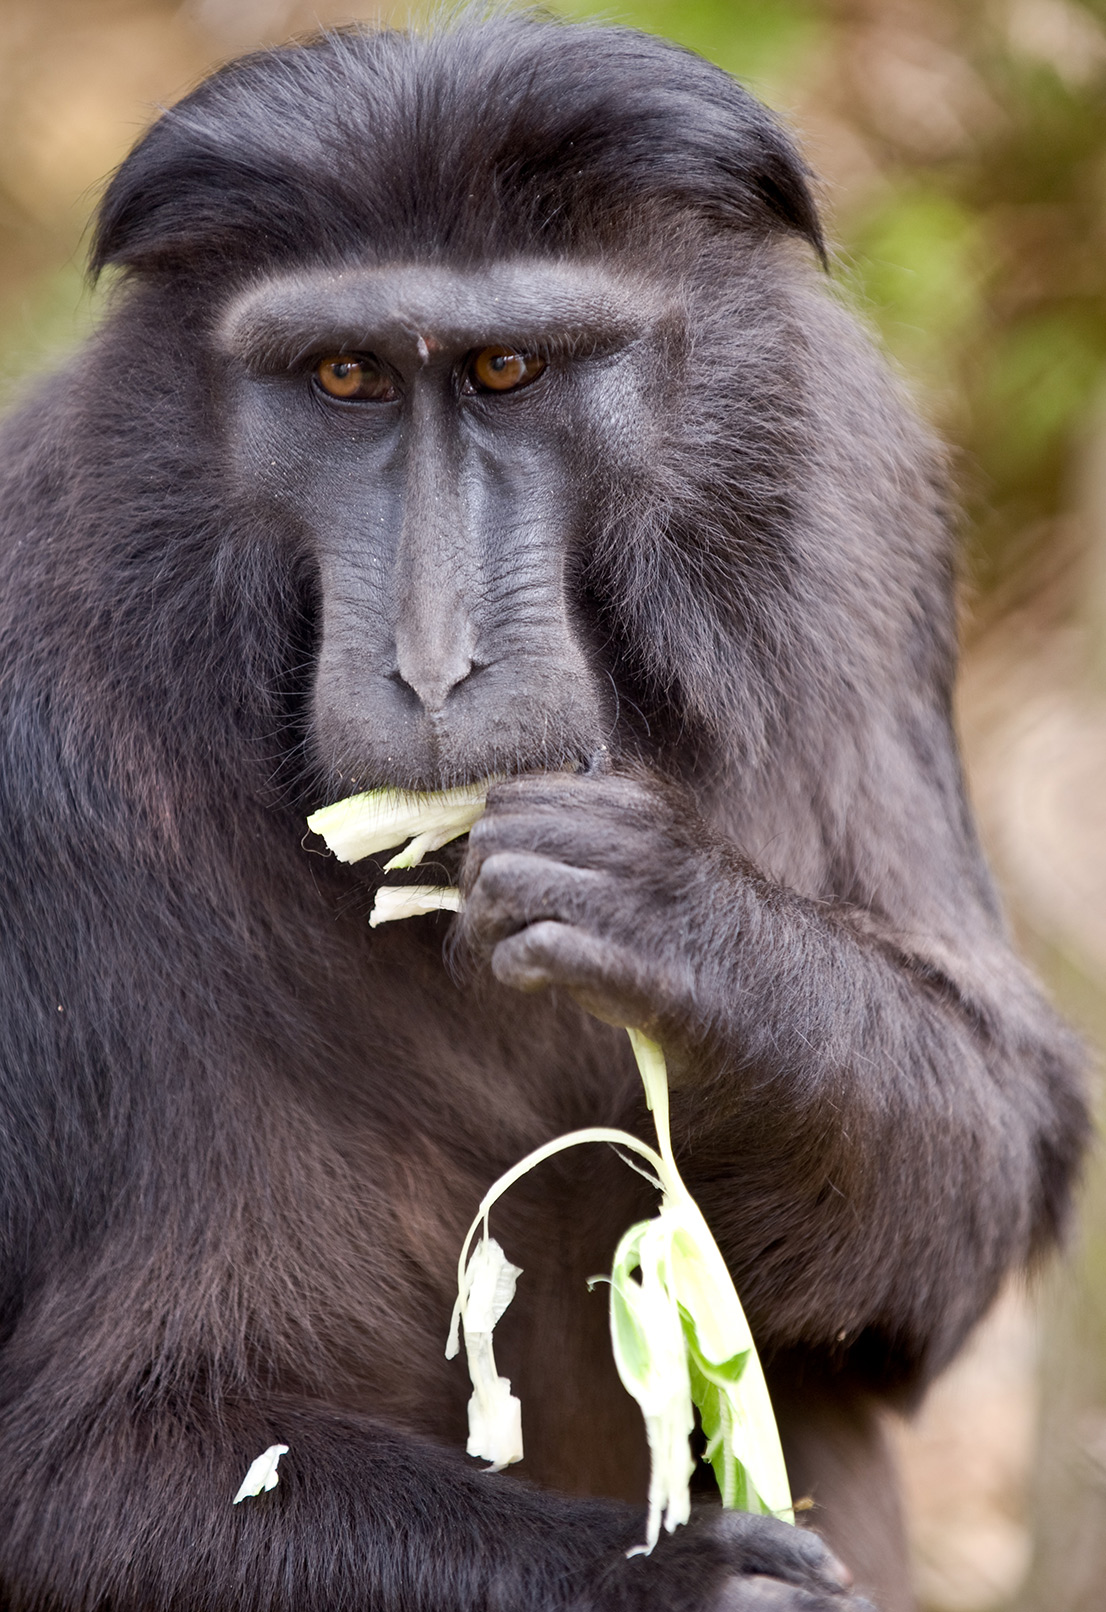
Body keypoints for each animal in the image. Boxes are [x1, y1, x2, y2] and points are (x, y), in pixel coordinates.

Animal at [0, 14, 1087, 1612]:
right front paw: (689, 1586)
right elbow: (94, 1464)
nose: (432, 663)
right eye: (345, 379)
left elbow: (1005, 1140)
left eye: (506, 371)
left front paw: (689, 937)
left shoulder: (853, 536)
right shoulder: (55, 739)